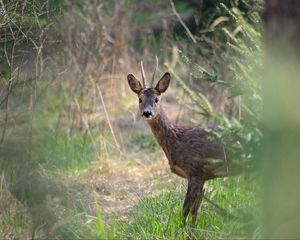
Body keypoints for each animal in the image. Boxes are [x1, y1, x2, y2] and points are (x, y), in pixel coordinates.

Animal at [126, 59, 227, 223]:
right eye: (140, 99)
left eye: (156, 99)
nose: (147, 112)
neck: (176, 140)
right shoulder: (202, 177)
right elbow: (195, 212)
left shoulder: (196, 171)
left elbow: (185, 211)